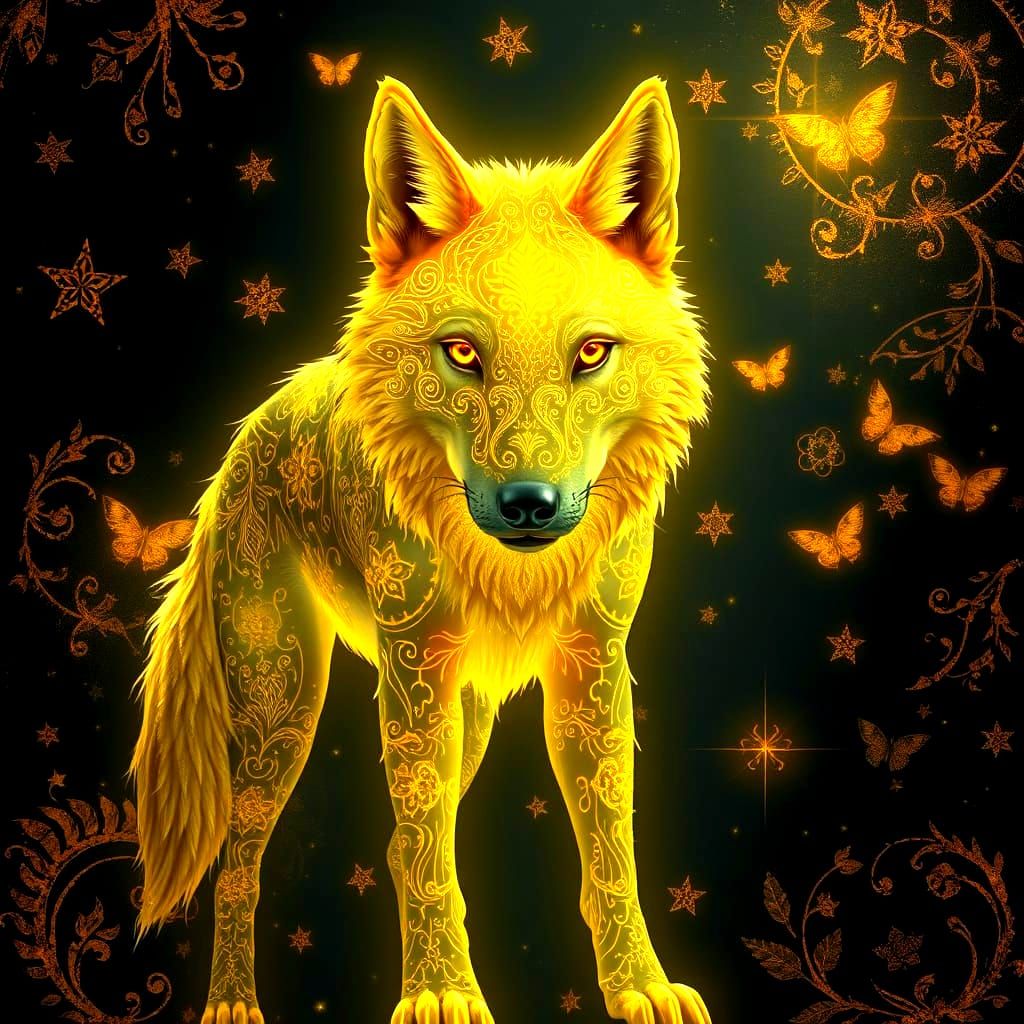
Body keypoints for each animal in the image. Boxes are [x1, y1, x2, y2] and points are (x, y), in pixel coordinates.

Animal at [131, 75, 711, 1024]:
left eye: (592, 352)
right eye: (463, 353)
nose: (528, 504)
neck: (513, 574)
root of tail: (247, 433)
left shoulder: (592, 666)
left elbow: (608, 853)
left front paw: (638, 985)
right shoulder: (414, 663)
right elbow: (433, 851)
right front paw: (440, 991)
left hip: (458, 714)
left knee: (403, 848)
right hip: (286, 710)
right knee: (246, 865)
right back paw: (232, 1003)